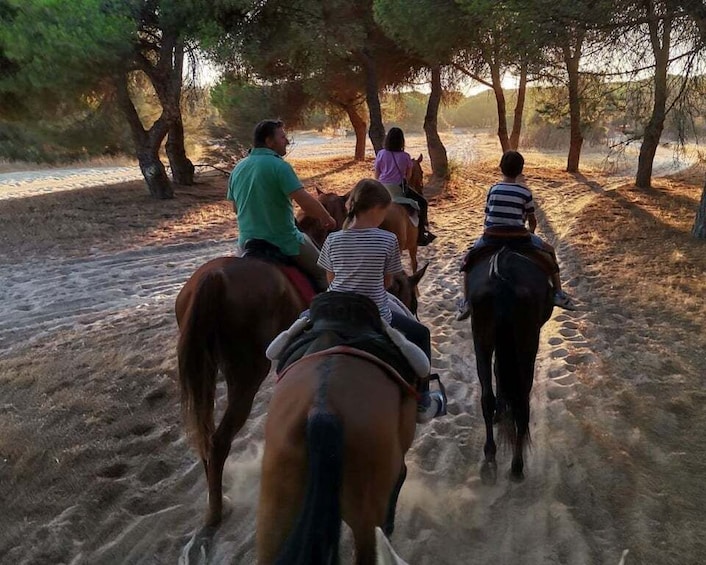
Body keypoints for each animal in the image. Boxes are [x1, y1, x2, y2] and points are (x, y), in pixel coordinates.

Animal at [174, 256, 426, 524]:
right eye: (413, 301)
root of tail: (214, 277)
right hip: (246, 375)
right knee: (218, 441)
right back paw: (217, 510)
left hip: (206, 370)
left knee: (205, 434)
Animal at [464, 245, 552, 482]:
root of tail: (502, 279)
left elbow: (498, 373)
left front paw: (500, 411)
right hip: (527, 345)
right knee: (522, 404)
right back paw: (517, 466)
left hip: (481, 340)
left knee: (486, 397)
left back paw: (490, 453)